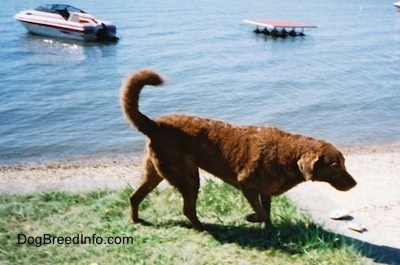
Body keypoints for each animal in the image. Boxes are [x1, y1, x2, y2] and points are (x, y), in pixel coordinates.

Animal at [119, 69, 356, 230]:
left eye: (344, 163)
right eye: (335, 165)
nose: (354, 184)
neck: (288, 155)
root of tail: (154, 125)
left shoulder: (264, 191)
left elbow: (267, 212)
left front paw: (271, 230)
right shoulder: (246, 185)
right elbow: (261, 213)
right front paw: (251, 218)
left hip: (155, 172)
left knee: (134, 197)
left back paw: (136, 220)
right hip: (188, 175)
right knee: (187, 207)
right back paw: (203, 228)